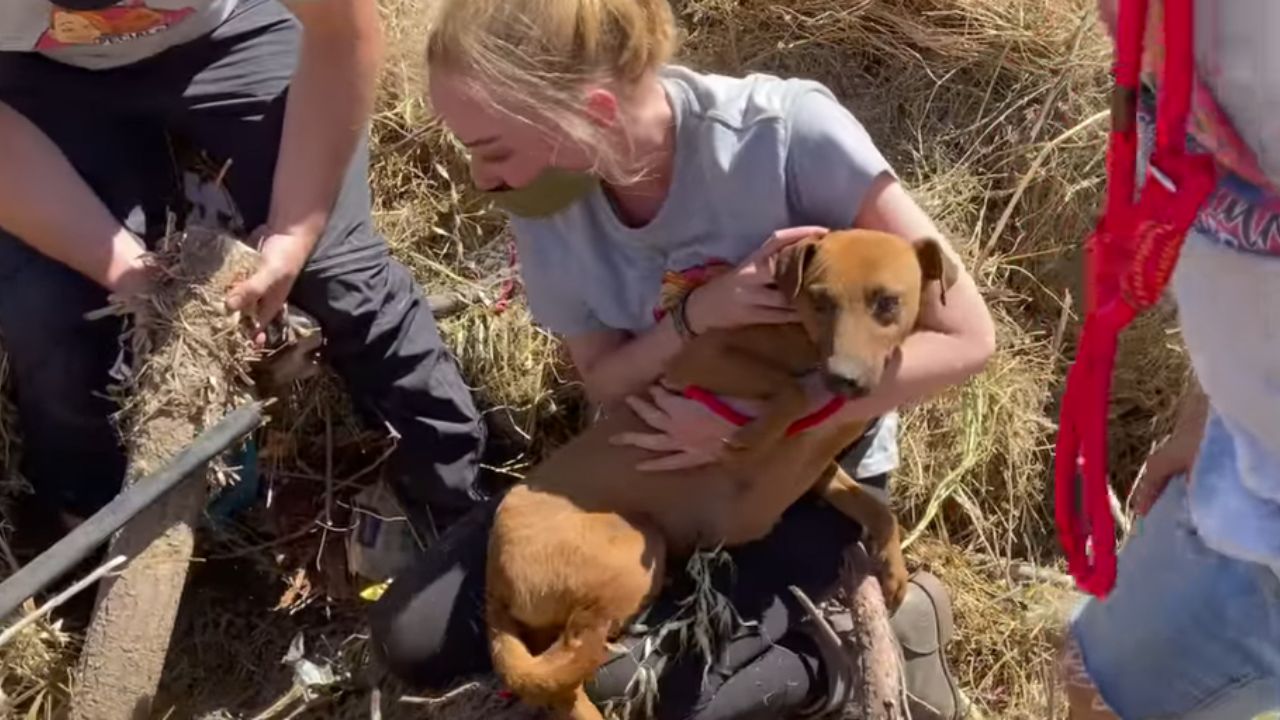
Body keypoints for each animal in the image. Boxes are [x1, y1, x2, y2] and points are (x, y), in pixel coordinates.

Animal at [483, 228, 957, 717]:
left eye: (887, 303)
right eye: (820, 300)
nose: (843, 380)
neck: (801, 340)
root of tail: (493, 580)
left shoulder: (818, 468)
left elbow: (875, 508)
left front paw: (893, 567)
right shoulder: (698, 359)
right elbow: (791, 390)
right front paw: (758, 434)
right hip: (634, 546)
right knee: (572, 665)